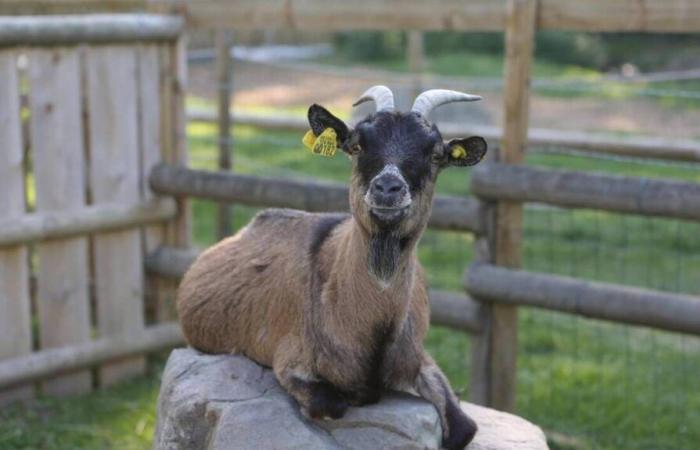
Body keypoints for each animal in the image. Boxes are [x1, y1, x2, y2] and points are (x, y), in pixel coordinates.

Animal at [176, 86, 486, 448]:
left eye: (436, 155)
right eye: (356, 146)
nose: (387, 189)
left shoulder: (417, 356)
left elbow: (465, 426)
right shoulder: (290, 357)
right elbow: (331, 404)